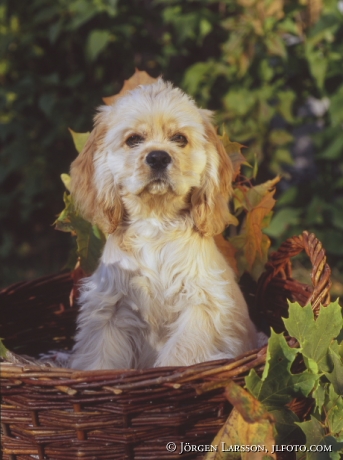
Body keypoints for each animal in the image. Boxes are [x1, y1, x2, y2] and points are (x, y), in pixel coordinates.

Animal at [68, 76, 258, 370]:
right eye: (133, 140)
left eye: (179, 138)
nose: (158, 157)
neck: (155, 223)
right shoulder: (109, 309)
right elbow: (100, 360)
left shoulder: (201, 305)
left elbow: (178, 357)